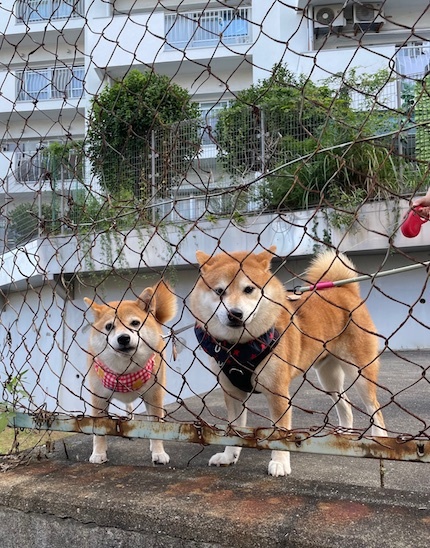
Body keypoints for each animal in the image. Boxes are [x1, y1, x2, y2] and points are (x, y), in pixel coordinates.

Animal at [83, 280, 176, 464]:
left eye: (135, 323)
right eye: (109, 326)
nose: (124, 338)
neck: (124, 371)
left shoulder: (153, 395)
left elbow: (155, 426)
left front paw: (158, 452)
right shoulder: (99, 398)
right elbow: (99, 432)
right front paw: (98, 453)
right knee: (129, 406)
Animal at [190, 247, 384, 476]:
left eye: (249, 289)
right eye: (219, 291)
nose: (235, 314)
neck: (239, 347)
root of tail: (346, 291)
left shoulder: (278, 393)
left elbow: (280, 432)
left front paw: (280, 462)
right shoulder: (233, 392)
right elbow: (233, 429)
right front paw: (229, 455)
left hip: (360, 371)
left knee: (375, 407)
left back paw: (380, 440)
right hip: (328, 376)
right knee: (343, 402)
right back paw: (343, 432)